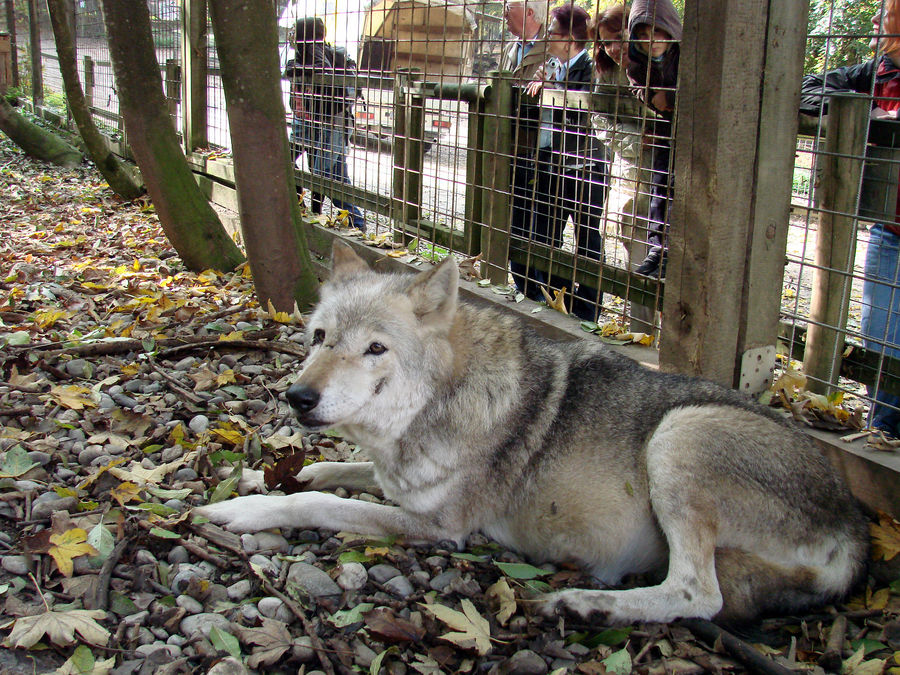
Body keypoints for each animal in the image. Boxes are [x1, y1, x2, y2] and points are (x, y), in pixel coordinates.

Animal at [195, 240, 864, 624]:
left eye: (375, 349)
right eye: (318, 338)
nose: (298, 398)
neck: (444, 402)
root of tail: (855, 525)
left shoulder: (441, 527)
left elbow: (321, 503)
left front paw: (245, 509)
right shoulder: (398, 480)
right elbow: (340, 471)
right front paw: (286, 470)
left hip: (680, 432)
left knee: (699, 595)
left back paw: (585, 605)